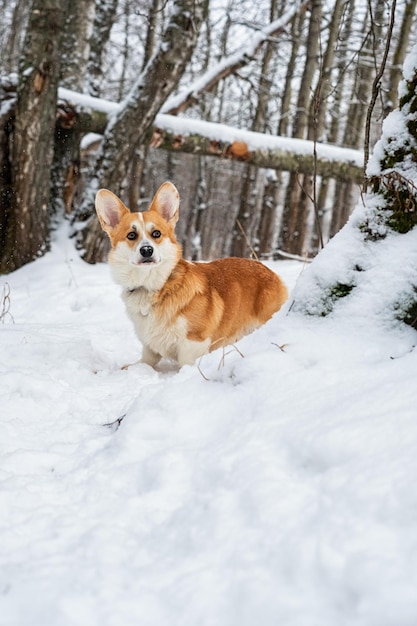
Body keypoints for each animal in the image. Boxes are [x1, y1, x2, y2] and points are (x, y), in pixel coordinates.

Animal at [96, 180, 288, 366]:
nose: (147, 250)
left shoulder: (193, 344)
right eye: (131, 235)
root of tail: (271, 273)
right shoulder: (149, 348)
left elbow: (185, 365)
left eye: (156, 233)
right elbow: (145, 362)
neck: (153, 285)